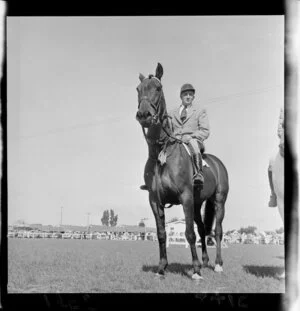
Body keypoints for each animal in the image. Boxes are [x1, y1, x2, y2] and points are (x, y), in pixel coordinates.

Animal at [135, 63, 229, 280]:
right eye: (138, 89)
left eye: (158, 88)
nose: (144, 115)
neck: (162, 152)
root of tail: (217, 163)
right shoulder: (155, 201)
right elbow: (162, 234)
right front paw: (162, 268)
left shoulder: (185, 197)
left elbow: (189, 233)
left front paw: (195, 271)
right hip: (197, 203)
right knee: (202, 229)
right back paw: (205, 261)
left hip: (218, 201)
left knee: (217, 231)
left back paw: (217, 264)